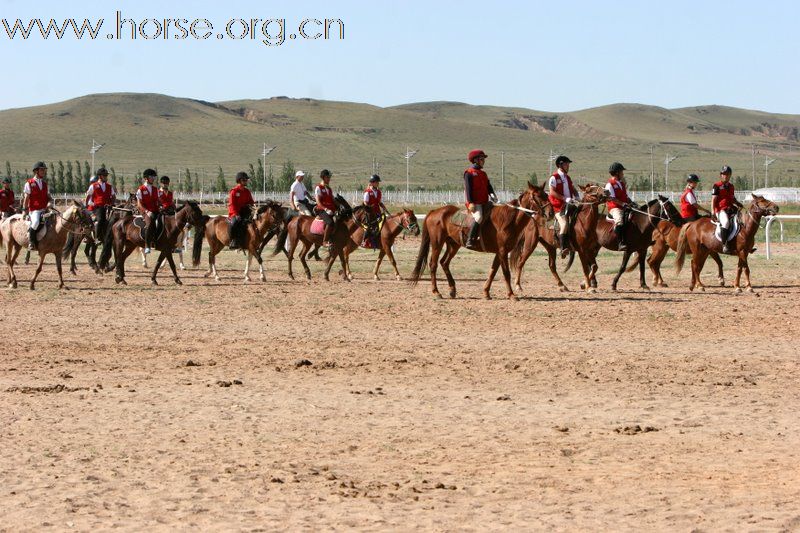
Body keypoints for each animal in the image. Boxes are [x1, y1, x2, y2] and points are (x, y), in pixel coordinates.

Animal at [410, 188, 540, 300]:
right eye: (537, 197)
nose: (544, 212)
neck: (507, 220)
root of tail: (433, 212)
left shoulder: (499, 252)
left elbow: (493, 271)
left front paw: (486, 293)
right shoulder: (503, 251)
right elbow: (505, 273)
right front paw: (511, 294)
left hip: (453, 245)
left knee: (444, 262)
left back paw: (452, 289)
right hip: (437, 243)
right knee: (433, 264)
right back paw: (436, 292)